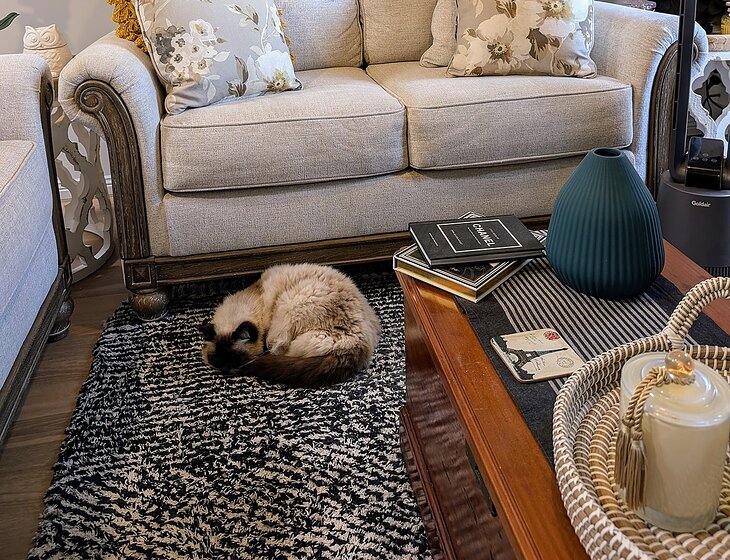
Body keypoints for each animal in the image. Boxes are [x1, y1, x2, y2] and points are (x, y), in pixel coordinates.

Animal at [200, 263, 381, 387]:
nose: (225, 370)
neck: (257, 296)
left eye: (235, 357)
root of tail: (359, 345)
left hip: (289, 309)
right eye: (216, 358)